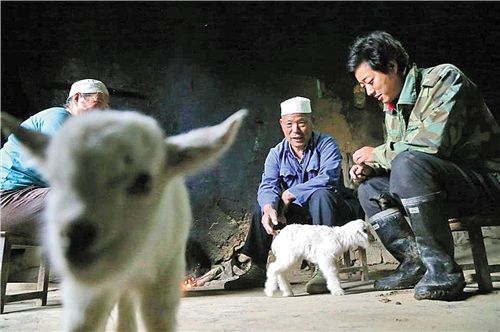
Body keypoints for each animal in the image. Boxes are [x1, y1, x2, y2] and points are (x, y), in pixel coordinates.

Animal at [0, 109, 247, 332]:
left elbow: (157, 320)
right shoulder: (87, 289)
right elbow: (84, 321)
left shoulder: (166, 274)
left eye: (143, 180)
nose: (75, 239)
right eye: (55, 178)